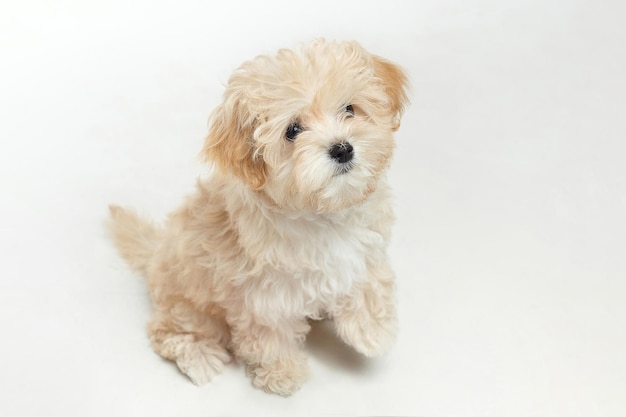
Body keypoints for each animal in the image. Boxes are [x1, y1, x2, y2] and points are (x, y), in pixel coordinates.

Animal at [108, 38, 410, 394]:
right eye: (293, 130)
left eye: (349, 109)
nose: (342, 149)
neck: (321, 212)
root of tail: (156, 251)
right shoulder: (263, 296)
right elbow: (270, 335)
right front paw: (282, 373)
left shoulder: (364, 249)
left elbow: (369, 281)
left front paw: (374, 331)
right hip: (189, 303)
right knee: (167, 331)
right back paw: (198, 356)